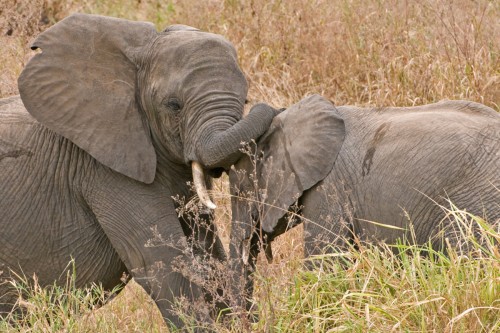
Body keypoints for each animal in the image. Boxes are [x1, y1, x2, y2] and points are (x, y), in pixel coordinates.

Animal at [0, 13, 282, 330]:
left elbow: (208, 252)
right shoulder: (105, 168)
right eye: (173, 105)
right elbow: (160, 263)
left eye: (244, 101)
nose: (274, 109)